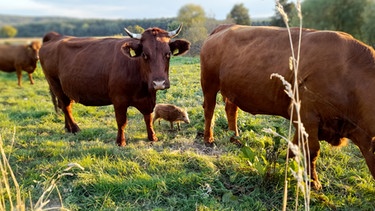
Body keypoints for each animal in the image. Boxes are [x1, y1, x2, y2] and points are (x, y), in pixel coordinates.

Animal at [39, 24, 191, 146]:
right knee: (66, 107)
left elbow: (148, 118)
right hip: (54, 83)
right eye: (145, 55)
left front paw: (152, 137)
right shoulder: (119, 100)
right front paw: (120, 142)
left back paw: (68, 128)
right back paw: (75, 128)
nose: (159, 83)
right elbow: (122, 121)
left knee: (64, 105)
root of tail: (55, 36)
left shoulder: (148, 99)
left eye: (168, 54)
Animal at [201, 24, 375, 190]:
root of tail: (225, 26)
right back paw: (208, 139)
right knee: (209, 110)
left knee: (231, 110)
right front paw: (313, 182)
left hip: (232, 90)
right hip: (209, 83)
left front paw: (285, 163)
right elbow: (312, 150)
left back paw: (235, 139)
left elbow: (296, 146)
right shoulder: (307, 116)